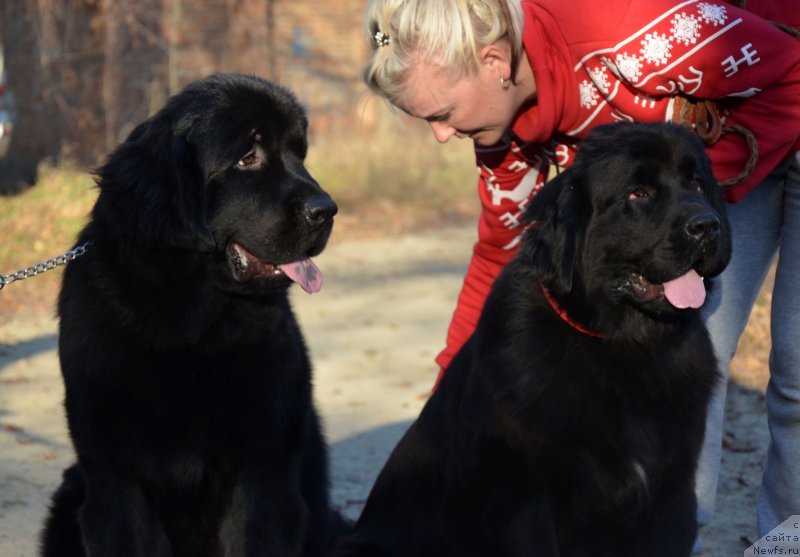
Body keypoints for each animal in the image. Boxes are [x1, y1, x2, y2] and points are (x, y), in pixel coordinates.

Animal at [39, 74, 340, 556]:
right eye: (248, 156)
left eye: (300, 153)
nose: (327, 210)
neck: (189, 326)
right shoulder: (114, 476)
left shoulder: (264, 470)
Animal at [334, 122, 736, 556]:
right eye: (638, 193)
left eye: (697, 184)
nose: (707, 225)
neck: (622, 346)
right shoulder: (526, 504)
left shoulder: (669, 493)